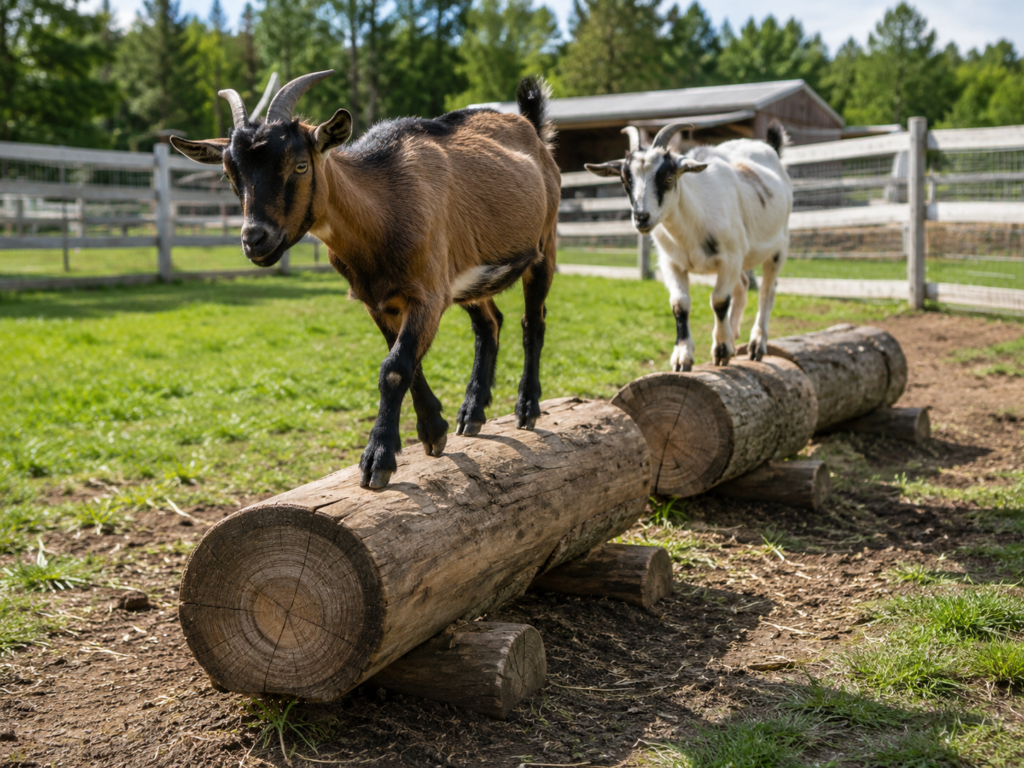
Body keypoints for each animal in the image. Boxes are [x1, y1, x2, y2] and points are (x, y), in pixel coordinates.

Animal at [170, 71, 560, 489]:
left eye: (300, 166)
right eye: (231, 174)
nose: (254, 239)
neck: (384, 207)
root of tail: (531, 127)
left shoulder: (428, 294)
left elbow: (395, 368)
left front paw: (378, 459)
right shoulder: (378, 301)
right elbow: (407, 364)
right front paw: (433, 429)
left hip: (544, 245)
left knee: (532, 323)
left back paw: (526, 408)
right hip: (470, 276)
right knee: (489, 324)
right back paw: (471, 414)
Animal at [585, 121, 792, 371]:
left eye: (669, 178)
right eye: (625, 181)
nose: (642, 217)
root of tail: (770, 149)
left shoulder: (730, 258)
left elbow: (719, 301)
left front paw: (720, 350)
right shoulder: (671, 263)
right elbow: (679, 305)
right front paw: (682, 357)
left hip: (778, 246)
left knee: (767, 292)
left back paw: (756, 345)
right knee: (742, 286)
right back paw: (734, 337)